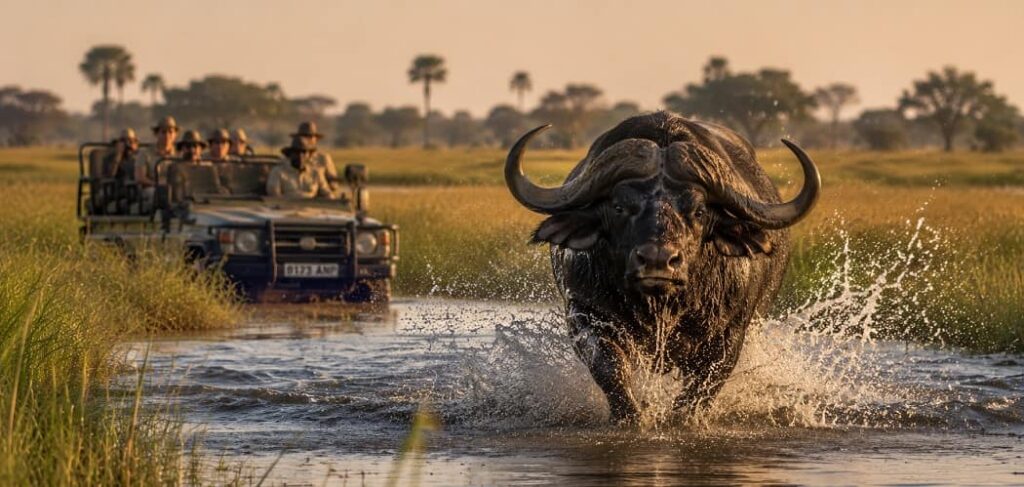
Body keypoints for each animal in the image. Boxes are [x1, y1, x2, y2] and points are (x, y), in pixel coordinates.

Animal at [504, 111, 820, 422]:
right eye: (619, 207)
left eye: (699, 211)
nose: (657, 260)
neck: (660, 307)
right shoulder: (584, 313)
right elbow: (609, 366)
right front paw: (631, 415)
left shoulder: (731, 331)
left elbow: (705, 385)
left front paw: (683, 418)